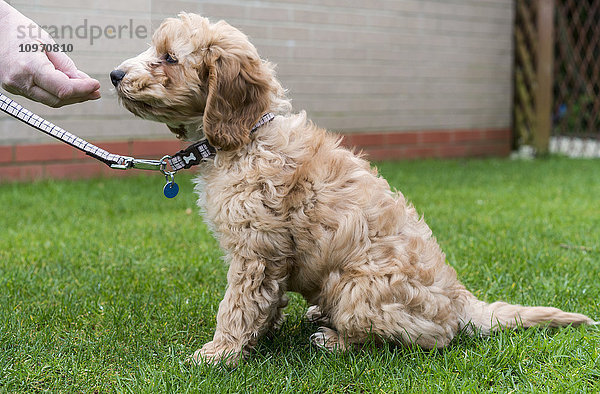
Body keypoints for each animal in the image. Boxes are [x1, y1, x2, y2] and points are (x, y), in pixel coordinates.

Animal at [111, 13, 596, 364]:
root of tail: (462, 303)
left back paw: (333, 339)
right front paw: (258, 336)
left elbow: (239, 303)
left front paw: (219, 353)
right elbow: (264, 302)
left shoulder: (256, 249)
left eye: (169, 58)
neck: (247, 134)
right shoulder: (267, 255)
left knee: (414, 340)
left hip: (357, 288)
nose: (115, 74)